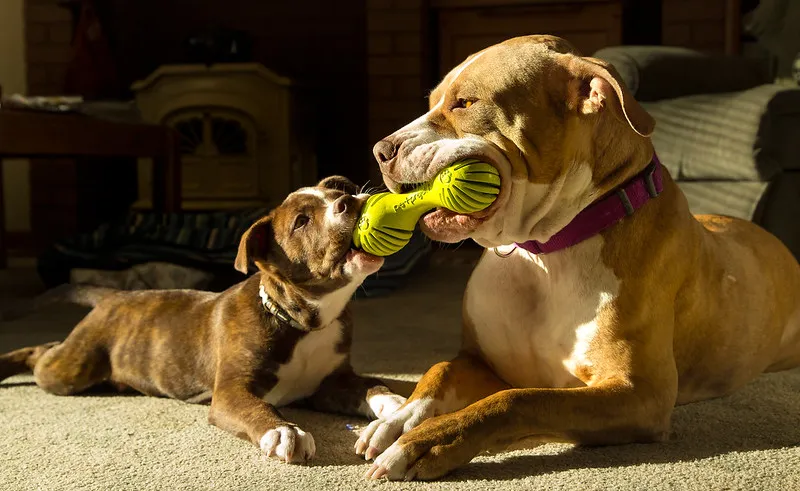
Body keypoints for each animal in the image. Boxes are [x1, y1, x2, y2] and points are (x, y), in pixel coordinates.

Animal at [0, 176, 406, 466]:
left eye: (341, 191)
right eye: (301, 222)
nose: (350, 201)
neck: (304, 323)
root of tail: (111, 296)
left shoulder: (333, 382)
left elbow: (371, 387)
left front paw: (397, 407)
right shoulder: (230, 393)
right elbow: (260, 408)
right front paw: (282, 430)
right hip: (70, 370)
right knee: (42, 351)